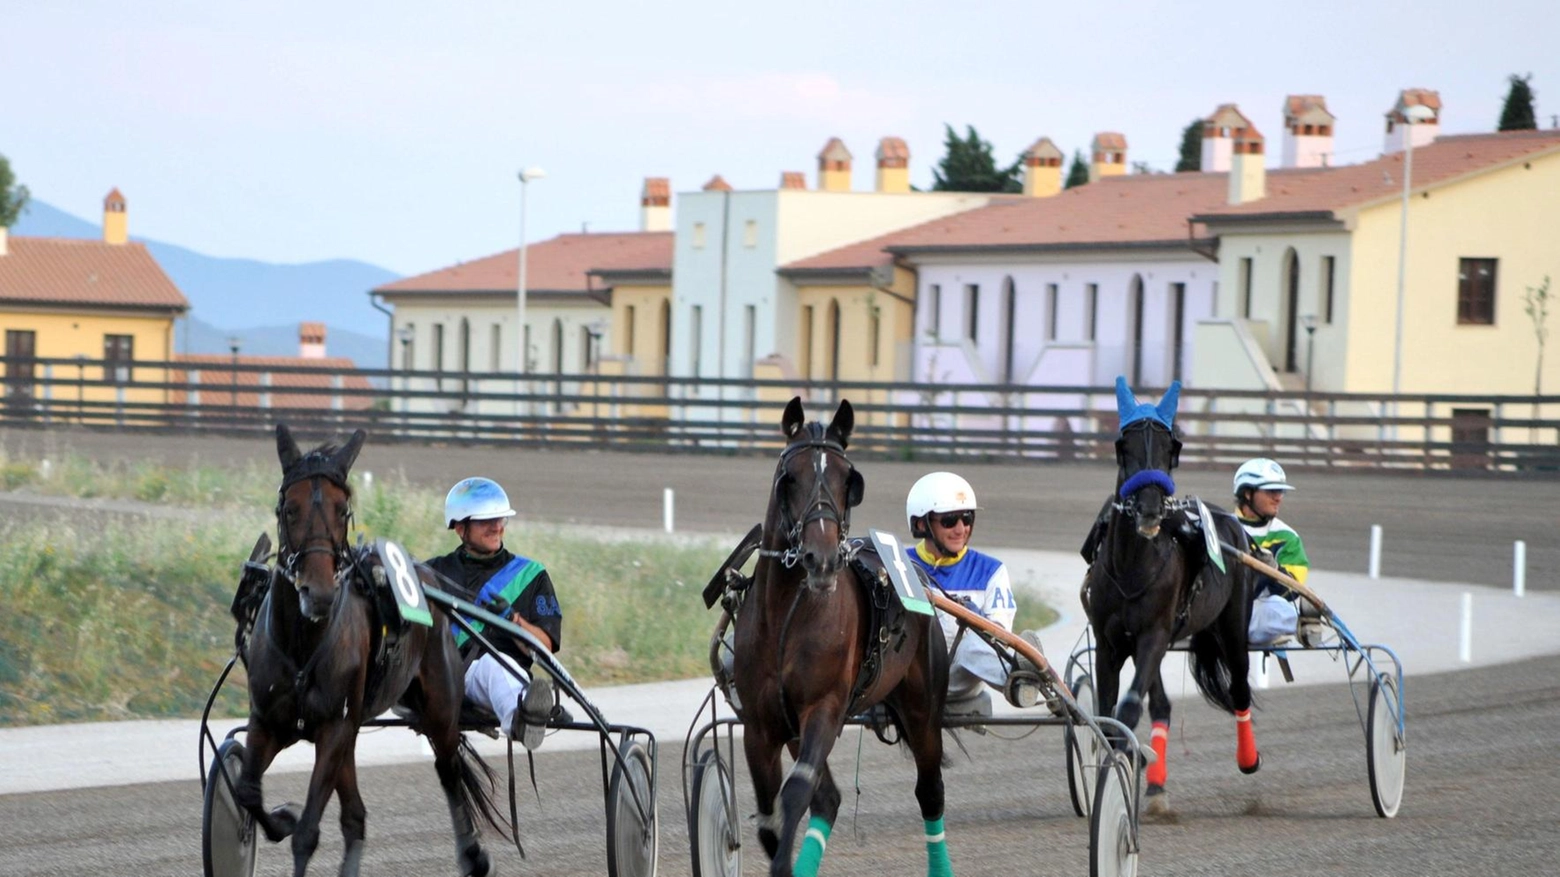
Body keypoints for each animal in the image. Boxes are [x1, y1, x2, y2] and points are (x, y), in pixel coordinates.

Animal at [230, 421, 502, 867]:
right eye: (289, 509)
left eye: (343, 510)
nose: (319, 592)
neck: (305, 643)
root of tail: (429, 578)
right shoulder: (268, 719)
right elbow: (248, 792)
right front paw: (281, 818)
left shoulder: (334, 727)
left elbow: (307, 833)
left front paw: (294, 824)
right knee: (355, 815)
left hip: (439, 710)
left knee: (448, 769)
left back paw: (472, 854)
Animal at [730, 397, 948, 873]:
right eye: (790, 478)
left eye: (849, 479)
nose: (823, 559)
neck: (786, 617)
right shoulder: (760, 726)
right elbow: (769, 818)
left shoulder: (824, 708)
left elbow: (796, 793)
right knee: (828, 799)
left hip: (922, 709)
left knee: (930, 790)